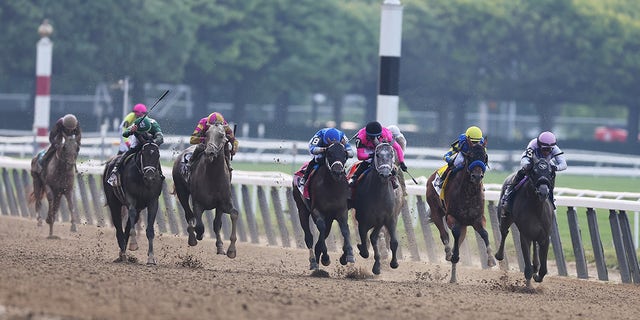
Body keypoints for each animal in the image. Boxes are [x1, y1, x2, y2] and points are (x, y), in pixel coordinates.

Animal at [171, 122, 239, 258]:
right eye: (206, 134)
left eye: (222, 135)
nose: (210, 152)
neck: (213, 177)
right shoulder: (198, 203)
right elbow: (199, 225)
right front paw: (198, 235)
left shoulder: (223, 204)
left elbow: (232, 215)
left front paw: (230, 250)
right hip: (182, 192)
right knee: (189, 215)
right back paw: (192, 238)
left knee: (215, 224)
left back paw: (219, 247)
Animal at [294, 142, 356, 270]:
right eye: (329, 153)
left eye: (344, 154)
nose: (337, 171)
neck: (331, 186)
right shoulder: (317, 211)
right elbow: (321, 229)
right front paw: (326, 258)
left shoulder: (341, 211)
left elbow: (345, 229)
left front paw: (350, 256)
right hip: (302, 210)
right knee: (309, 237)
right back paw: (313, 261)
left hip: (329, 217)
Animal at [350, 143, 400, 276]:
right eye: (377, 154)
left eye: (391, 154)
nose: (385, 174)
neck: (379, 195)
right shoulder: (362, 220)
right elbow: (364, 239)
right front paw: (362, 250)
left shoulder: (387, 218)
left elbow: (393, 241)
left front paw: (393, 263)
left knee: (373, 237)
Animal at [424, 142, 496, 282]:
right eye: (469, 156)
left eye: (485, 156)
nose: (477, 176)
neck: (469, 193)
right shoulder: (451, 217)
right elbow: (455, 235)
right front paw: (454, 255)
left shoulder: (478, 218)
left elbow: (484, 234)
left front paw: (491, 259)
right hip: (436, 211)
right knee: (444, 235)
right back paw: (448, 254)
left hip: (464, 225)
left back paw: (453, 277)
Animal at [496, 156, 556, 286]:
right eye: (534, 172)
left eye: (550, 173)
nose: (543, 192)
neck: (536, 207)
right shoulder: (525, 235)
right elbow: (527, 267)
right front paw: (528, 285)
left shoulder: (545, 237)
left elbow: (543, 269)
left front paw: (537, 275)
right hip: (505, 217)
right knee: (504, 232)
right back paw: (499, 255)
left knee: (534, 243)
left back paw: (535, 266)